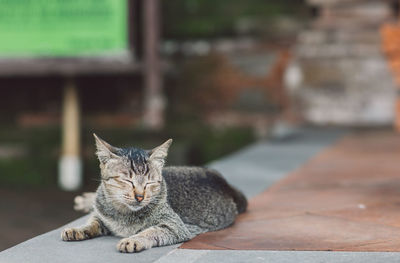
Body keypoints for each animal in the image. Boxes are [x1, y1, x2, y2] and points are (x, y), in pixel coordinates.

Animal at [61, 135, 247, 255]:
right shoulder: (101, 216)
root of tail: (224, 182)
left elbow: (150, 231)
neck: (123, 214)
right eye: (128, 181)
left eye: (149, 183)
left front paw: (133, 239)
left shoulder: (175, 226)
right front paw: (78, 229)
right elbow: (92, 222)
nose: (140, 197)